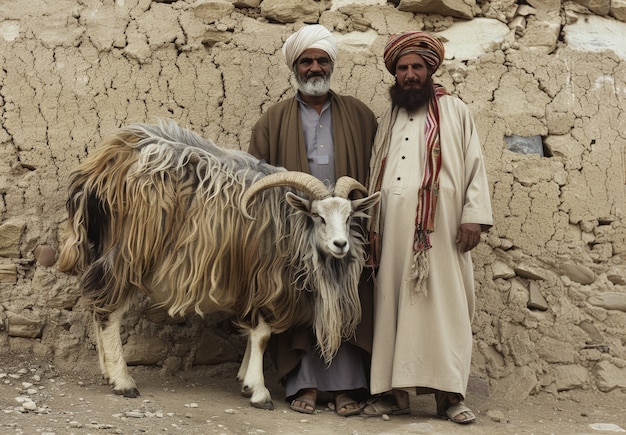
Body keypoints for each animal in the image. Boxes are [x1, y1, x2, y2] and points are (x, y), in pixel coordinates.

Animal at [58, 118, 380, 408]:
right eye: (318, 217)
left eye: (349, 217)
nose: (341, 245)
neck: (289, 223)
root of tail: (105, 164)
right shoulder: (263, 279)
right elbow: (261, 335)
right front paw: (259, 391)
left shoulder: (251, 283)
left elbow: (253, 334)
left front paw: (244, 379)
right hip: (128, 251)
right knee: (107, 309)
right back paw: (122, 381)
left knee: (97, 303)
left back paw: (107, 372)